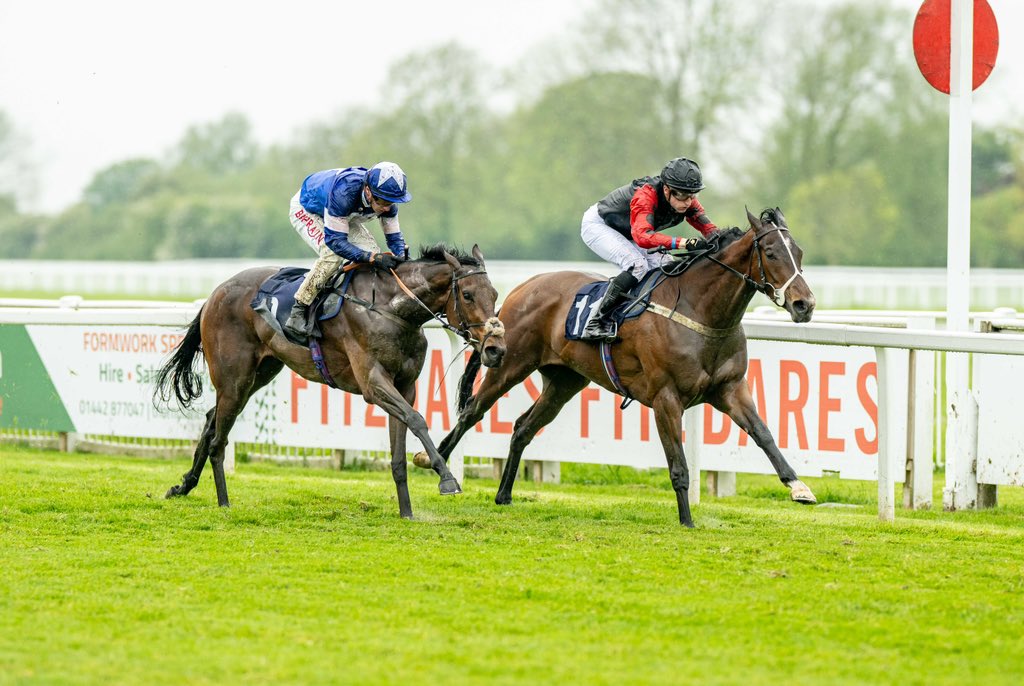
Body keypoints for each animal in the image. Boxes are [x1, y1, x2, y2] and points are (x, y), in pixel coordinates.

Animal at [156, 244, 507, 518]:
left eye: (495, 294)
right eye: (467, 294)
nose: (495, 348)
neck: (392, 308)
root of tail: (215, 293)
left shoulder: (405, 386)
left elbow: (400, 450)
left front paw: (407, 512)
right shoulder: (373, 384)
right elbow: (418, 420)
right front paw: (446, 477)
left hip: (260, 373)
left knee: (211, 421)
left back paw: (184, 485)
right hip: (235, 378)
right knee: (219, 439)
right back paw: (224, 502)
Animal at [423, 207, 815, 528]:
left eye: (798, 253)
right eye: (771, 252)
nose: (804, 304)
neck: (701, 312)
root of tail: (520, 288)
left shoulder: (730, 388)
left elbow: (763, 434)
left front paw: (799, 487)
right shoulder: (666, 399)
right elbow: (678, 465)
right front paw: (687, 520)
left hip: (565, 382)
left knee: (522, 427)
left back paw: (503, 495)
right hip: (510, 364)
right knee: (472, 411)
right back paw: (433, 462)